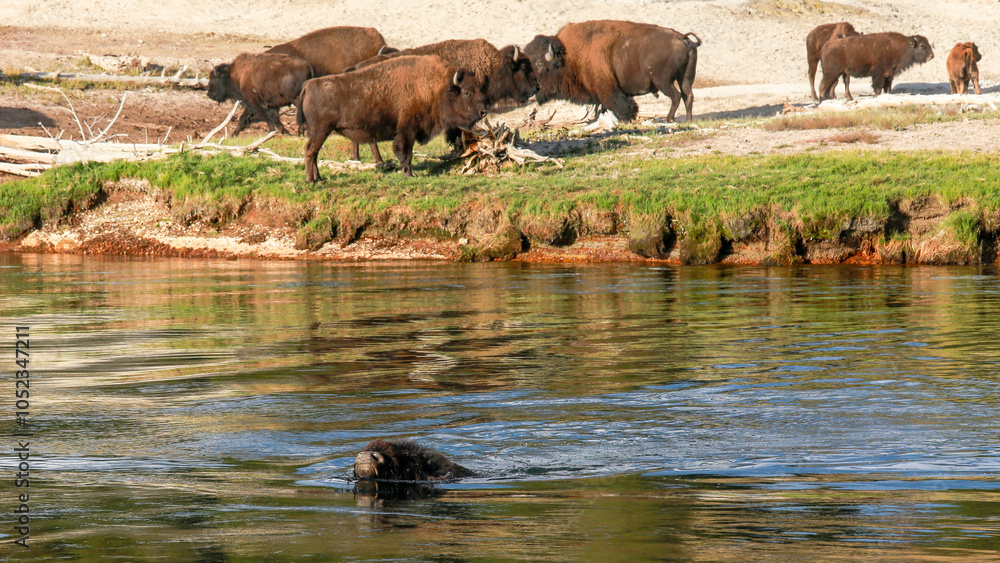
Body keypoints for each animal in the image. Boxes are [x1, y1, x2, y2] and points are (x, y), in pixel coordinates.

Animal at [297, 55, 489, 182]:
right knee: (310, 151)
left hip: (320, 132)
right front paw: (409, 174)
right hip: (321, 130)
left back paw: (319, 178)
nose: (483, 112)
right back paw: (311, 180)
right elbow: (406, 152)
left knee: (313, 152)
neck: (438, 87)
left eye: (479, 89)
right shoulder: (407, 130)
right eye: (466, 92)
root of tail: (309, 84)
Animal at [523, 20, 701, 123]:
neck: (569, 56)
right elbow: (603, 107)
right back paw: (689, 120)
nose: (531, 87)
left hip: (663, 81)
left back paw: (669, 119)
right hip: (685, 78)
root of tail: (682, 38)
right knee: (688, 96)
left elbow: (619, 104)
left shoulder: (608, 89)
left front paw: (626, 119)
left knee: (676, 96)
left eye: (539, 64)